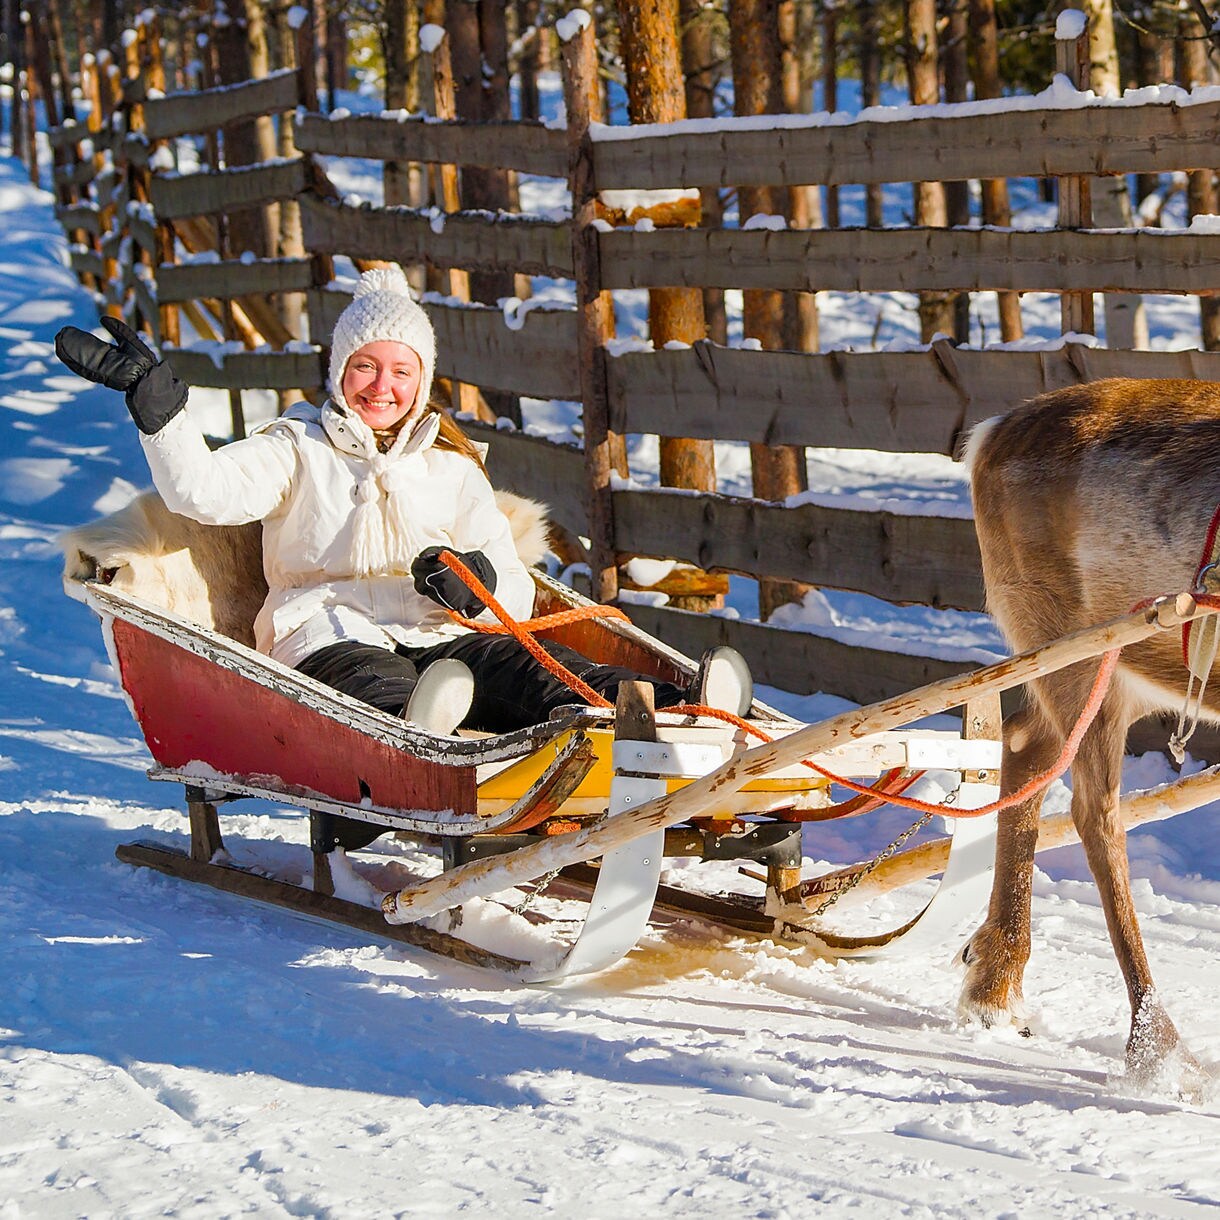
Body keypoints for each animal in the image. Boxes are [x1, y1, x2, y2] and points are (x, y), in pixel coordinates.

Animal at [961, 376, 1220, 1094]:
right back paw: (1157, 1047)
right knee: (1093, 811)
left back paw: (995, 984)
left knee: (1027, 747)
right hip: (1076, 652)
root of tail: (989, 433)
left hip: (1122, 671)